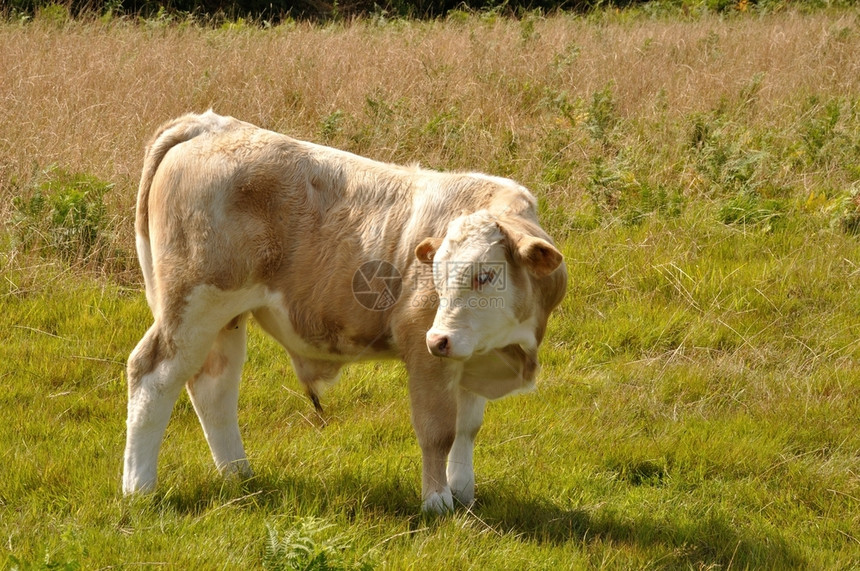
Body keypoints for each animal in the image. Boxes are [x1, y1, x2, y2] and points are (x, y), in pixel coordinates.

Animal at [119, 111, 564, 512]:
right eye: (435, 275)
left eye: (486, 275)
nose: (440, 339)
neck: (509, 348)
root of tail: (207, 123)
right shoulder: (425, 351)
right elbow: (437, 430)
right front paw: (438, 503)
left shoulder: (469, 357)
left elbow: (466, 429)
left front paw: (465, 495)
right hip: (193, 304)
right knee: (153, 375)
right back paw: (139, 488)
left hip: (224, 317)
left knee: (214, 388)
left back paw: (239, 476)